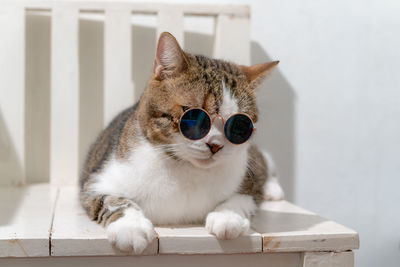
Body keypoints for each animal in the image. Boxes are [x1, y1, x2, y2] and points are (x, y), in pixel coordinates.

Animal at [79, 32, 284, 254]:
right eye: (193, 116)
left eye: (239, 125)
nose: (216, 145)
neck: (187, 170)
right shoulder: (96, 181)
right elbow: (114, 201)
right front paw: (131, 227)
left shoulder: (249, 181)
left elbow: (244, 197)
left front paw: (228, 217)